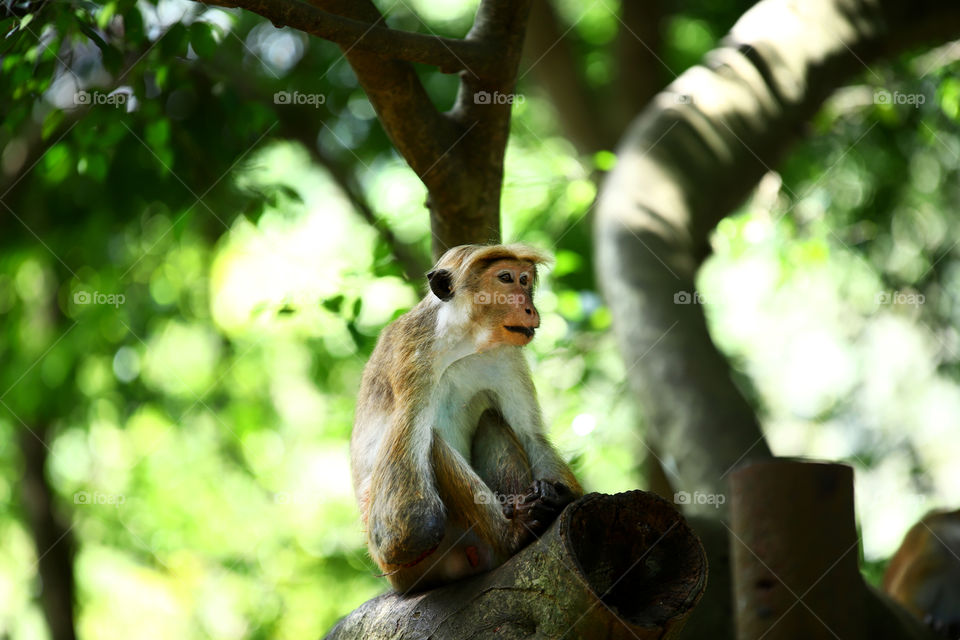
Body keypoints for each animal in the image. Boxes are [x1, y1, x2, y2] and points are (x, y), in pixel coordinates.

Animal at [350, 243, 582, 593]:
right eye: (505, 278)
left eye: (525, 280)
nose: (529, 308)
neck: (463, 343)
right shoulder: (412, 354)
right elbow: (406, 530)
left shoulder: (507, 356)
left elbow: (530, 436)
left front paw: (560, 495)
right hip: (412, 569)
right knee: (430, 445)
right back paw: (512, 536)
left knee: (491, 419)